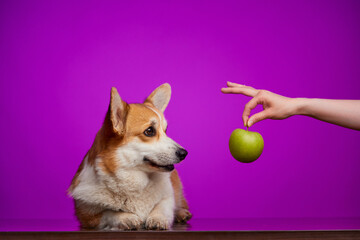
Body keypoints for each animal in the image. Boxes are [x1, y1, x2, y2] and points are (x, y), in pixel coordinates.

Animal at [67, 83, 191, 230]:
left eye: (165, 131)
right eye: (149, 131)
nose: (184, 153)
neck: (133, 179)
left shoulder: (168, 197)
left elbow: (162, 207)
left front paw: (157, 219)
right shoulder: (87, 214)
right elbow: (109, 212)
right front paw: (127, 217)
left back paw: (182, 213)